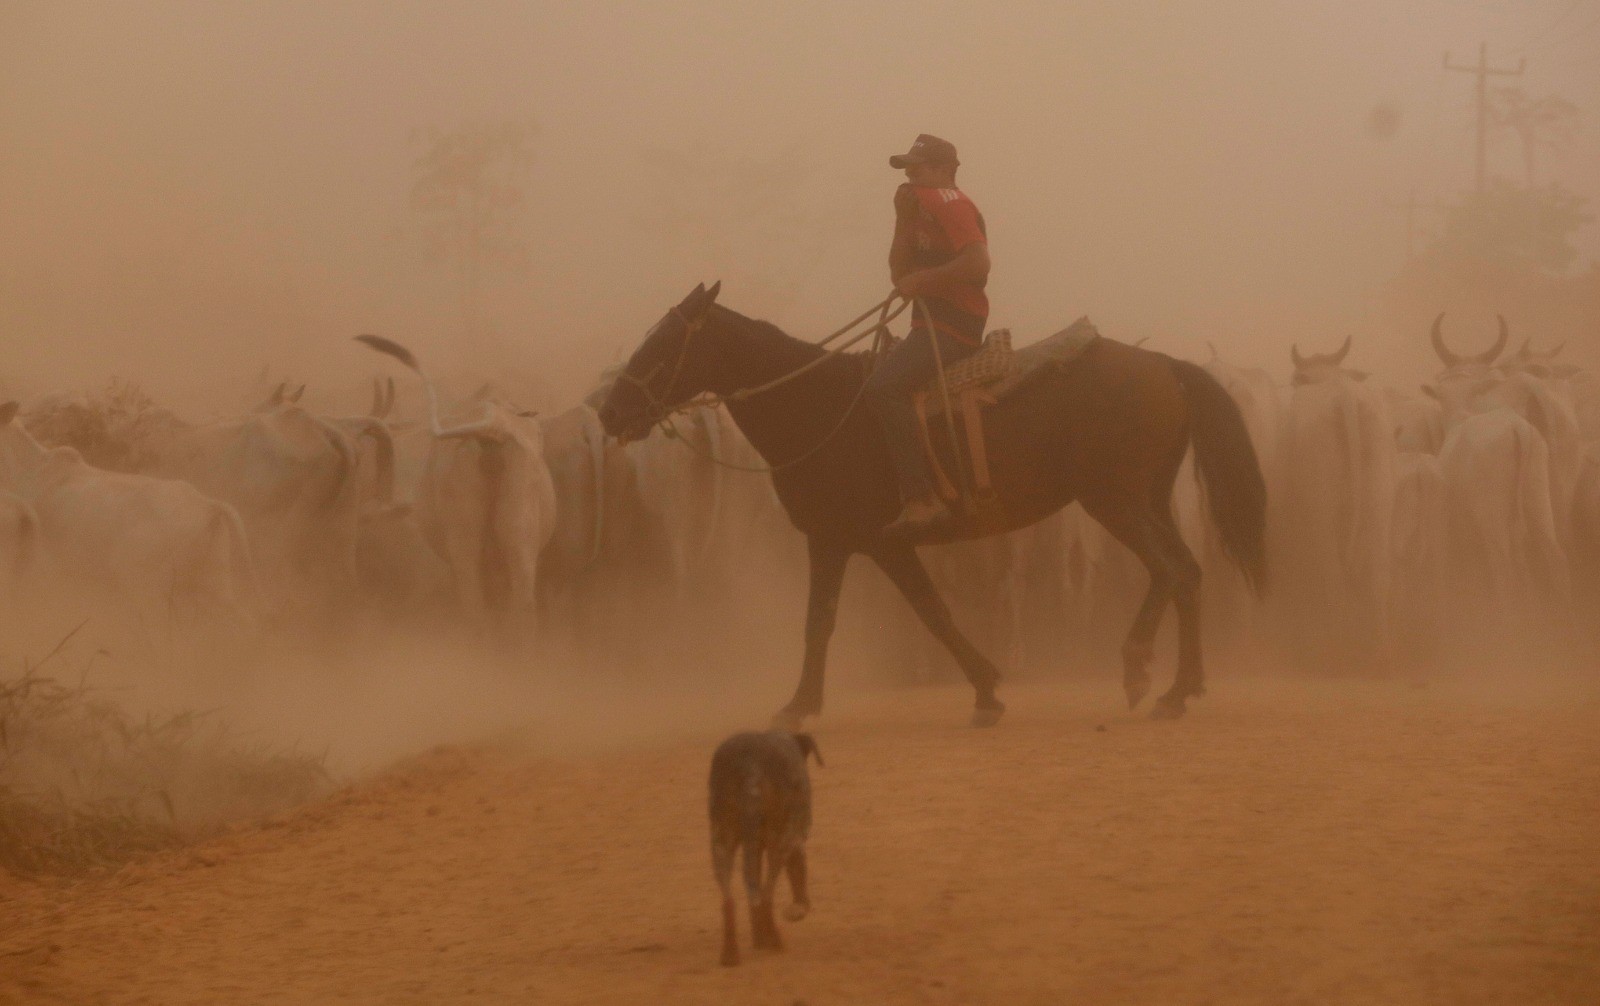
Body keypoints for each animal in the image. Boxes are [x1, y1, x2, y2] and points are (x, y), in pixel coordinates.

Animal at [595, 283, 1267, 722]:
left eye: (665, 341)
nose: (610, 411)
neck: (819, 407)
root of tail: (1166, 366)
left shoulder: (866, 541)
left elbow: (904, 615)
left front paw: (983, 690)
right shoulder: (847, 543)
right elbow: (857, 617)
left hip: (1117, 501)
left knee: (1172, 570)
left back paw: (1148, 674)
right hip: (1144, 500)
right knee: (1184, 572)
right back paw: (1172, 685)